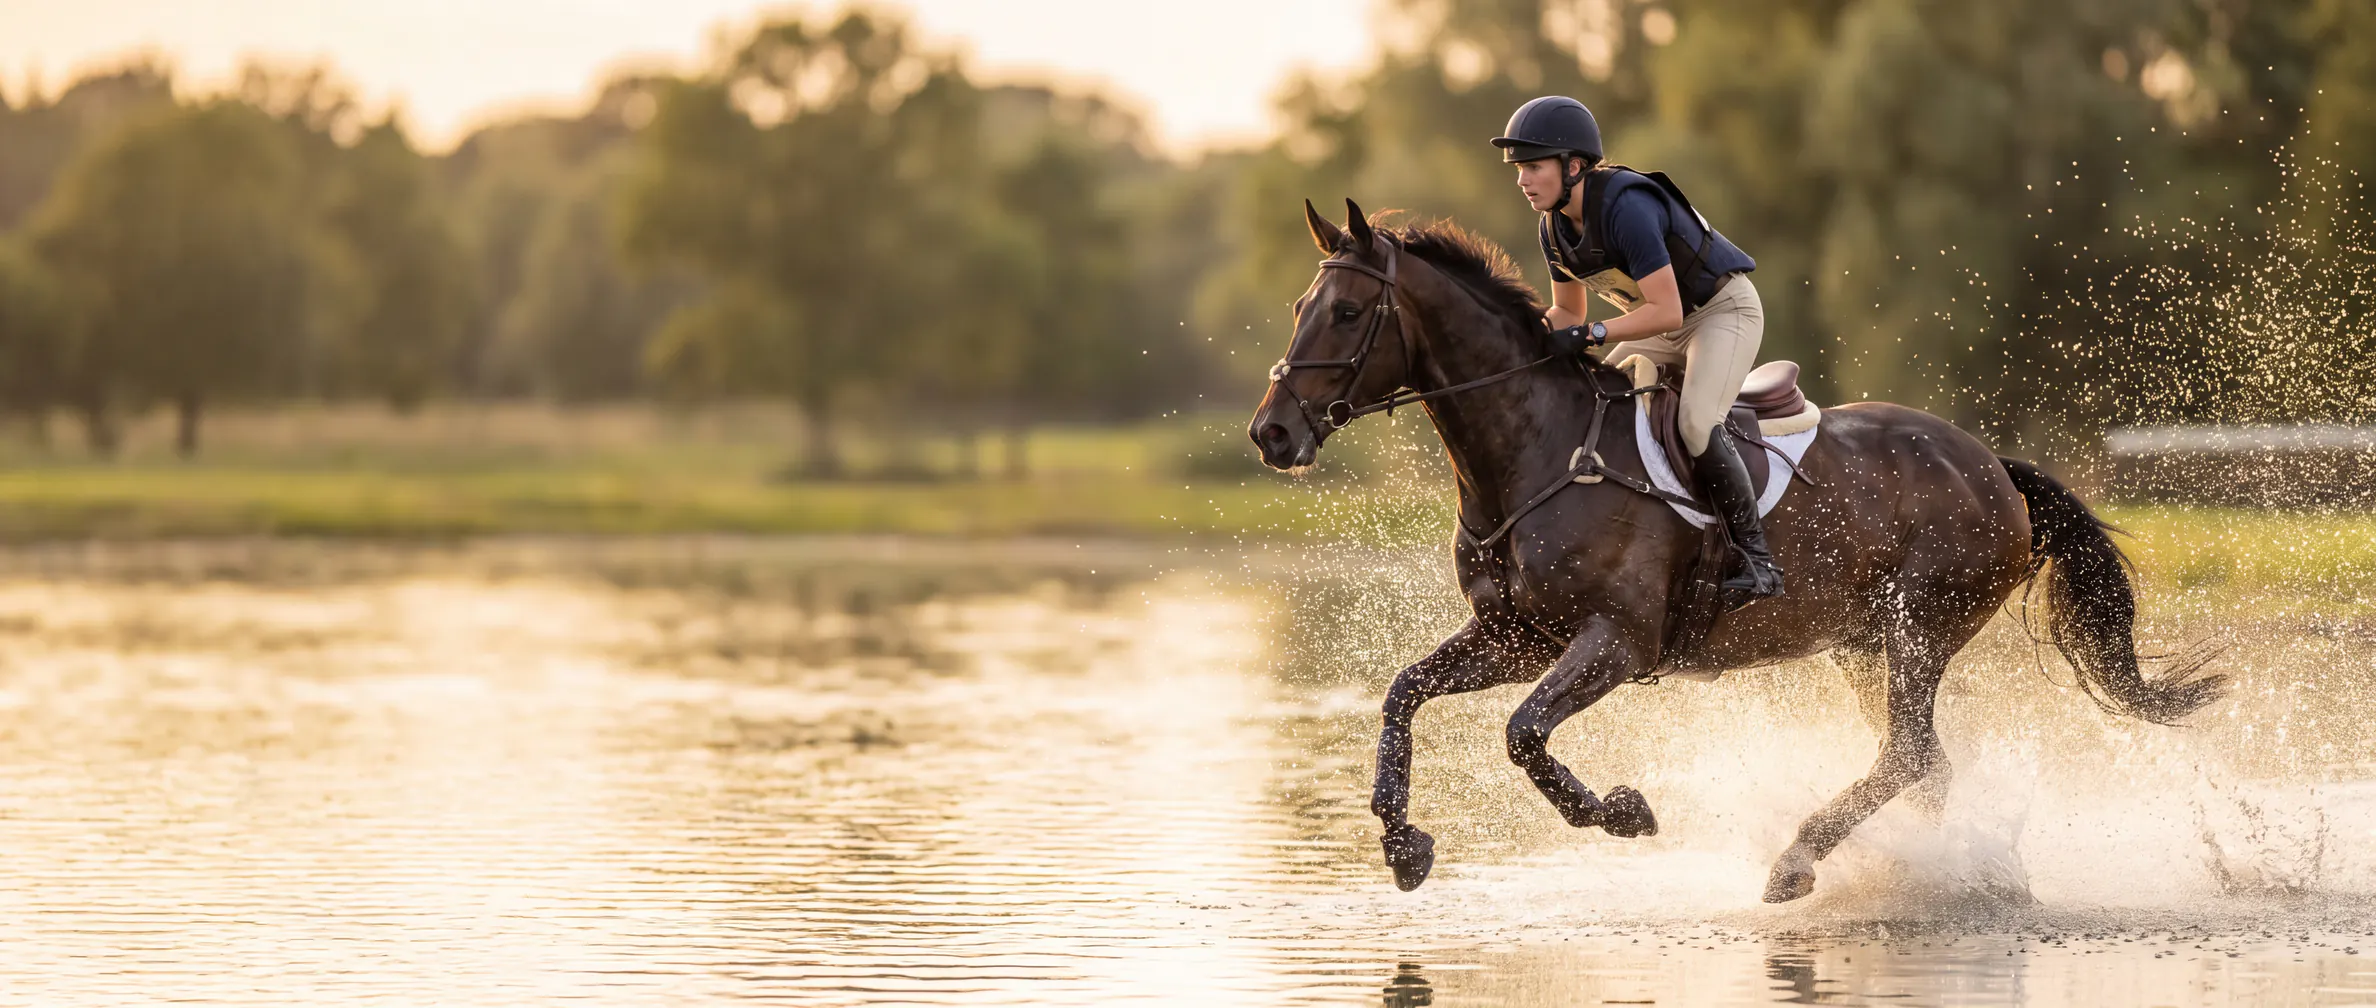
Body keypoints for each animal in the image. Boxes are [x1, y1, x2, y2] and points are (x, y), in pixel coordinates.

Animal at [1247, 200, 2223, 902]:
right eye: (1296, 307)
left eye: (1344, 313)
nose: (1271, 434)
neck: (1534, 451)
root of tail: (1992, 467)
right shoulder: (1515, 637)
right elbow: (1404, 694)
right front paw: (1403, 846)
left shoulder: (1615, 641)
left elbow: (1523, 734)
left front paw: (1623, 813)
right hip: (1863, 646)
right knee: (1925, 764)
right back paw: (1950, 872)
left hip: (1918, 628)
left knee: (1909, 757)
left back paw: (1796, 862)